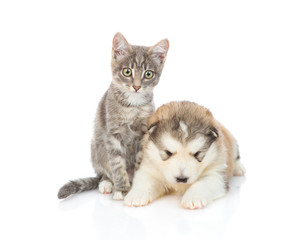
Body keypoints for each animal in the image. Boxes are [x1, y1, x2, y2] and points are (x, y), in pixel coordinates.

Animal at [57, 32, 168, 201]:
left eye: (148, 74)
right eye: (127, 71)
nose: (136, 86)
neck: (132, 106)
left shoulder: (143, 134)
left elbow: (140, 160)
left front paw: (136, 187)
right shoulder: (113, 134)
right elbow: (117, 164)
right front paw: (121, 189)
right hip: (96, 146)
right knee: (104, 173)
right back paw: (106, 184)